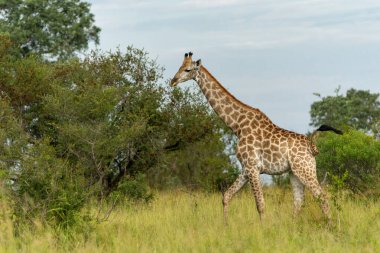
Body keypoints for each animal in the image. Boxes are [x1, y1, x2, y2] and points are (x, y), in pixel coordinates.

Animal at [171, 52, 342, 222]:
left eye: (187, 70)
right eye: (179, 67)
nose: (173, 81)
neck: (237, 126)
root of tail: (311, 144)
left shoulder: (253, 167)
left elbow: (260, 204)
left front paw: (263, 227)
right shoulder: (246, 168)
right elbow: (226, 196)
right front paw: (226, 225)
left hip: (305, 168)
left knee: (322, 196)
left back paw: (330, 226)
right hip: (294, 172)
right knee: (299, 201)